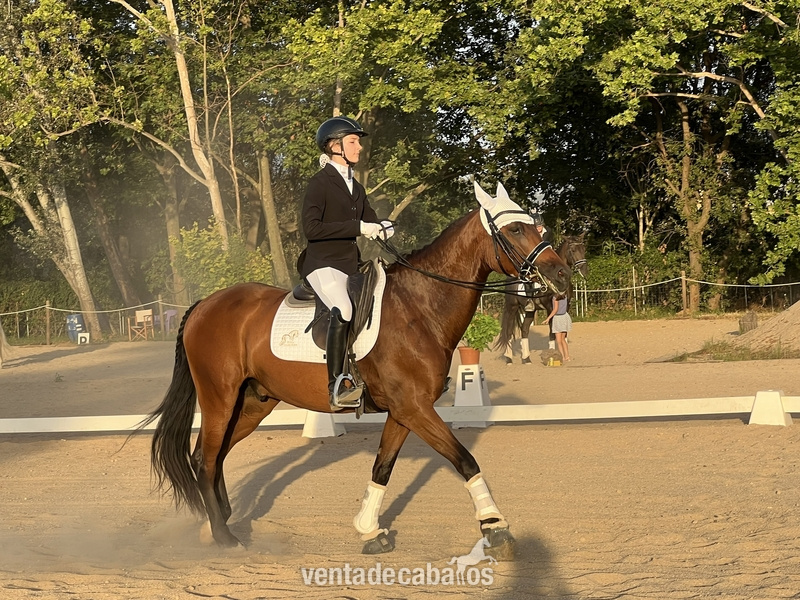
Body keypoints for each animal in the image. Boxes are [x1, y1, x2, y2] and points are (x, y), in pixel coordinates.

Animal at [141, 181, 571, 557]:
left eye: (536, 225)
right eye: (515, 229)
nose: (561, 274)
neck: (420, 307)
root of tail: (203, 305)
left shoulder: (404, 411)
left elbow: (382, 468)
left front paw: (369, 531)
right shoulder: (415, 408)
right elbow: (465, 460)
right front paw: (495, 528)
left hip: (251, 404)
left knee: (213, 457)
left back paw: (215, 524)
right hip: (220, 398)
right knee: (204, 457)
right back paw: (224, 537)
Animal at [497, 234, 587, 364]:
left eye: (584, 249)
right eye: (573, 250)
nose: (584, 270)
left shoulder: (566, 308)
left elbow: (563, 332)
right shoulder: (550, 308)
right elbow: (552, 332)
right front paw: (552, 356)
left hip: (530, 310)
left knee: (524, 330)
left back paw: (526, 359)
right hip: (512, 307)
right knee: (508, 331)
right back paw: (509, 358)